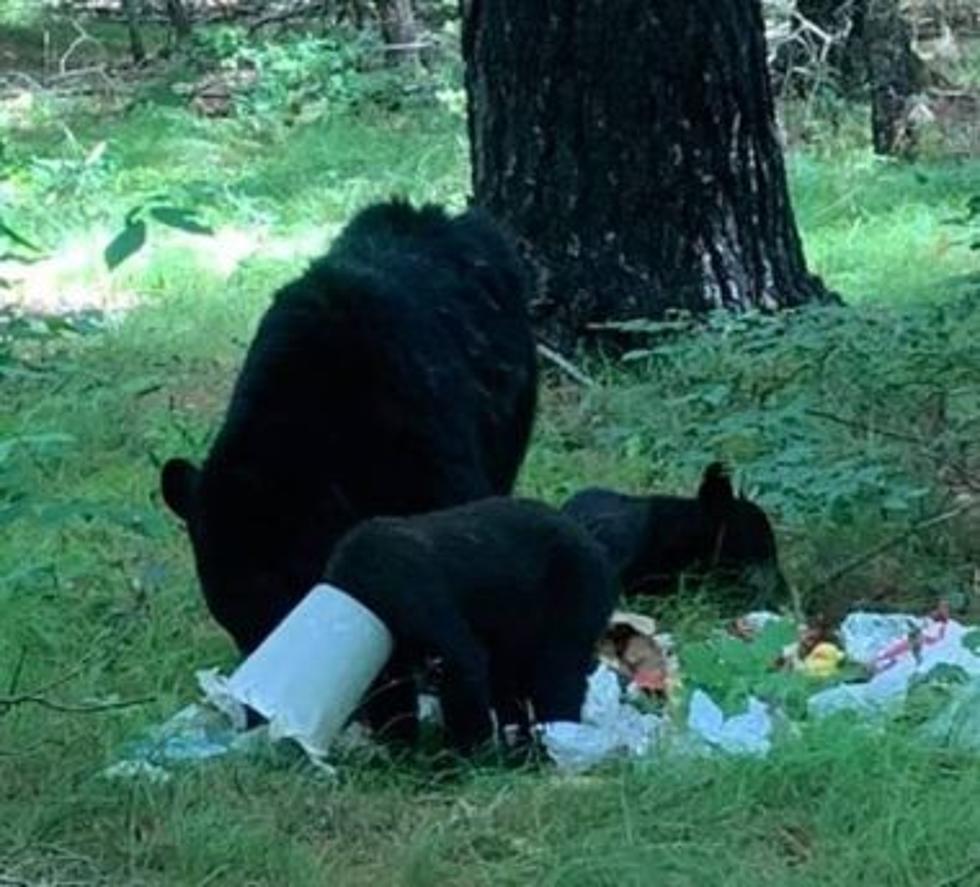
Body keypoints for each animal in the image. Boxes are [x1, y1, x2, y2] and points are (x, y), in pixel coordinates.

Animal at [330, 496, 616, 752]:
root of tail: (594, 542)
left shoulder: (407, 590)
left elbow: (462, 663)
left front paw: (459, 760)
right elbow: (390, 688)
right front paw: (399, 752)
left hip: (580, 586)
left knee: (556, 671)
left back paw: (556, 746)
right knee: (510, 678)